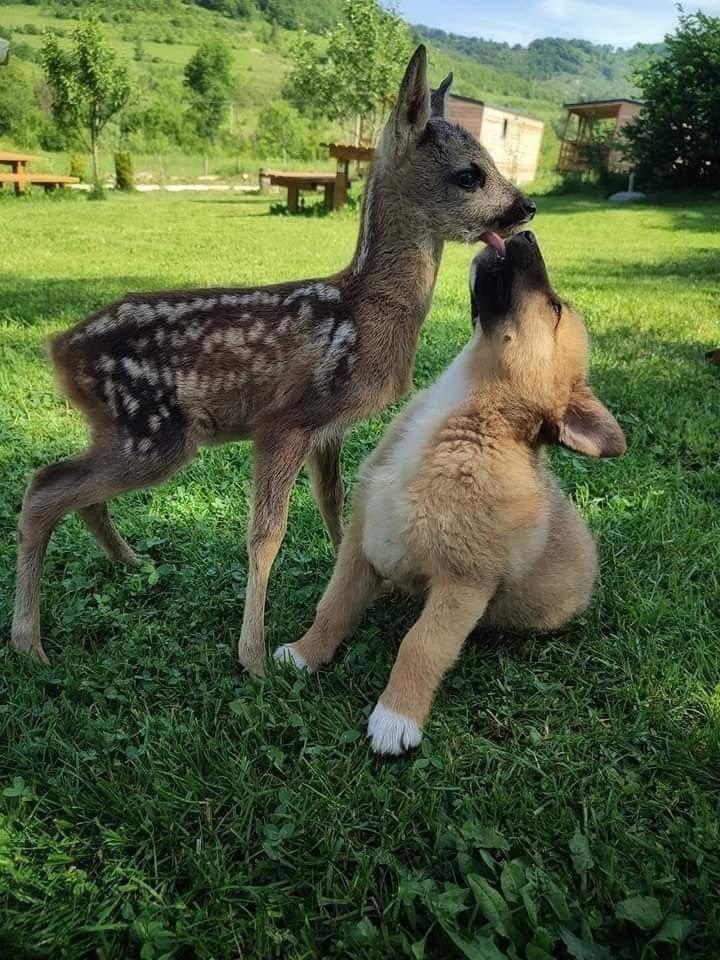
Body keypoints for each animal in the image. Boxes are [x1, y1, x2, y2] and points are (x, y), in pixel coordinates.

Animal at [11, 45, 536, 674]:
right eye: (469, 174)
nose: (527, 206)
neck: (365, 309)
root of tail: (60, 348)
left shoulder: (329, 427)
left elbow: (335, 504)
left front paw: (357, 582)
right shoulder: (283, 423)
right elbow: (266, 535)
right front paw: (255, 657)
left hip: (131, 436)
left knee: (70, 491)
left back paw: (131, 564)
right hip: (152, 433)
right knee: (43, 488)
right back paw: (29, 643)